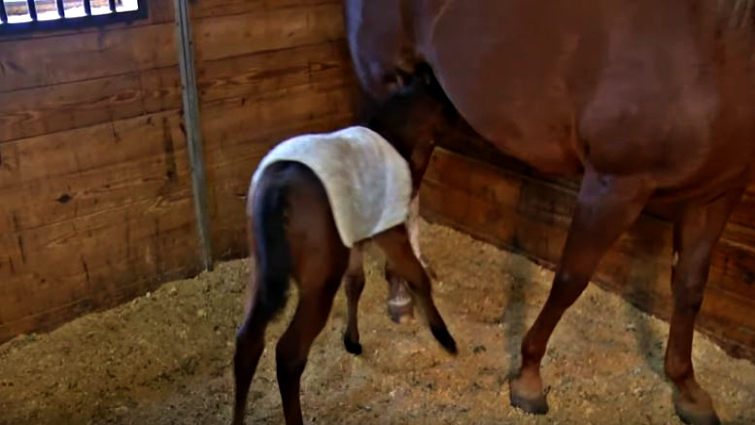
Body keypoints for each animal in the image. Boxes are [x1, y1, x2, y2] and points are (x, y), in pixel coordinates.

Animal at [232, 68, 458, 425]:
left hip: (261, 269)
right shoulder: (389, 230)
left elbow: (356, 283)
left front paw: (352, 341)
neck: (396, 139)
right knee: (289, 353)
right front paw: (444, 337)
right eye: (445, 100)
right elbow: (416, 275)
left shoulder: (354, 236)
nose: (464, 124)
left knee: (247, 341)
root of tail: (280, 185)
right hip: (319, 280)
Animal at [344, 1, 755, 424]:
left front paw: (688, 389)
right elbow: (570, 280)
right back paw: (397, 296)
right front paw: (528, 378)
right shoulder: (614, 186)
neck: (716, 43)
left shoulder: (717, 194)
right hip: (385, 92)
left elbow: (690, 288)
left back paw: (402, 291)